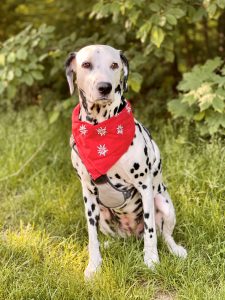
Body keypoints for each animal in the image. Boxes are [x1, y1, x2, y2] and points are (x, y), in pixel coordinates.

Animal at [64, 44, 186, 278]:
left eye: (114, 65)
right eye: (86, 64)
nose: (105, 87)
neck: (101, 130)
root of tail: (131, 235)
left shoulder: (144, 186)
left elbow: (150, 230)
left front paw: (151, 260)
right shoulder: (88, 195)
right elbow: (92, 237)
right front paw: (94, 266)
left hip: (164, 204)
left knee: (164, 235)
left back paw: (175, 249)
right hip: (102, 215)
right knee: (114, 237)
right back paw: (110, 244)